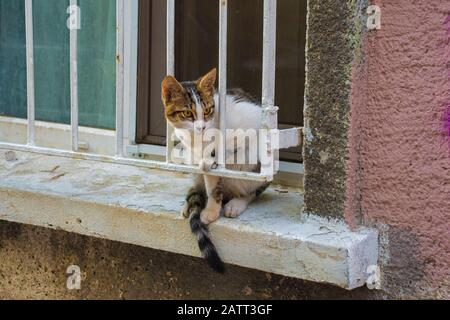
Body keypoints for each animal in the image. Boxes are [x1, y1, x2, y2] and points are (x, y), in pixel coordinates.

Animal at [161, 68, 268, 272]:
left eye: (208, 110)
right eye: (187, 112)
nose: (202, 127)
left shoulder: (250, 122)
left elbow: (234, 147)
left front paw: (210, 211)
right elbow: (208, 180)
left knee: (252, 187)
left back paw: (237, 203)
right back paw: (190, 202)